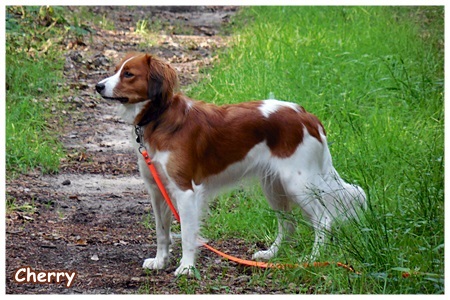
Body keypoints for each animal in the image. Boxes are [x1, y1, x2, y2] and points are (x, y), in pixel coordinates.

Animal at [95, 52, 366, 276]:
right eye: (116, 69)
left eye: (128, 74)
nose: (98, 86)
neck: (159, 118)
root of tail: (307, 116)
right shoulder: (157, 189)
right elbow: (162, 232)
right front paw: (160, 261)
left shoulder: (185, 190)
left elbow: (187, 233)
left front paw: (187, 267)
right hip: (274, 185)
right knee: (288, 225)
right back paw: (272, 255)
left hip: (298, 182)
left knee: (323, 219)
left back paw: (311, 259)